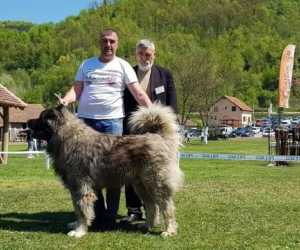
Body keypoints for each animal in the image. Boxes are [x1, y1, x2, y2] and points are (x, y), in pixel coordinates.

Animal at [28, 103, 183, 238]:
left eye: (41, 118)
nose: (28, 121)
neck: (66, 137)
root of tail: (159, 137)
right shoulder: (75, 189)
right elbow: (77, 210)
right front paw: (76, 225)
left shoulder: (81, 188)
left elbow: (82, 211)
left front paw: (80, 231)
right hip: (141, 186)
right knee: (152, 206)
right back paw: (147, 225)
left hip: (156, 183)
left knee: (167, 207)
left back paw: (169, 231)